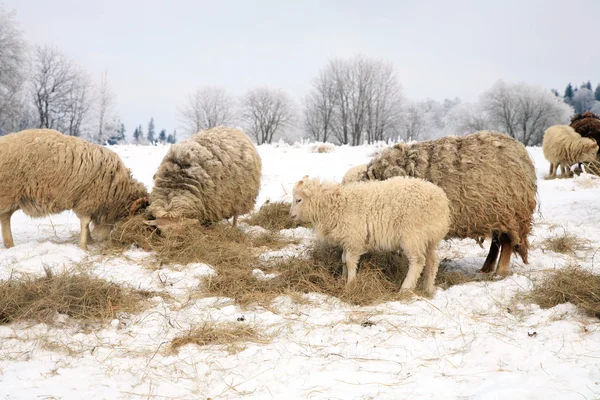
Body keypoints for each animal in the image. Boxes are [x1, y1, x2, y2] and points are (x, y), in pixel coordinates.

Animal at [0, 129, 149, 250]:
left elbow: (86, 224)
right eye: (140, 213)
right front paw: (84, 246)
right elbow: (85, 222)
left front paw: (89, 240)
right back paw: (9, 244)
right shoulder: (88, 200)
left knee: (5, 217)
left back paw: (9, 244)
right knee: (5, 218)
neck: (119, 188)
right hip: (7, 193)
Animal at [290, 173, 450, 296]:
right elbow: (343, 260)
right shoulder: (347, 240)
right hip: (428, 238)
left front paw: (351, 283)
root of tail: (442, 200)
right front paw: (342, 279)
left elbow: (349, 261)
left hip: (413, 236)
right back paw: (428, 288)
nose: (291, 215)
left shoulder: (354, 239)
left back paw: (405, 288)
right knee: (432, 261)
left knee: (417, 261)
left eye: (299, 200)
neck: (334, 204)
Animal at [366, 130, 540, 276]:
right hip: (494, 214)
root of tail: (521, 152)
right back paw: (485, 269)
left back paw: (499, 272)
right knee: (496, 243)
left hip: (509, 212)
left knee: (506, 243)